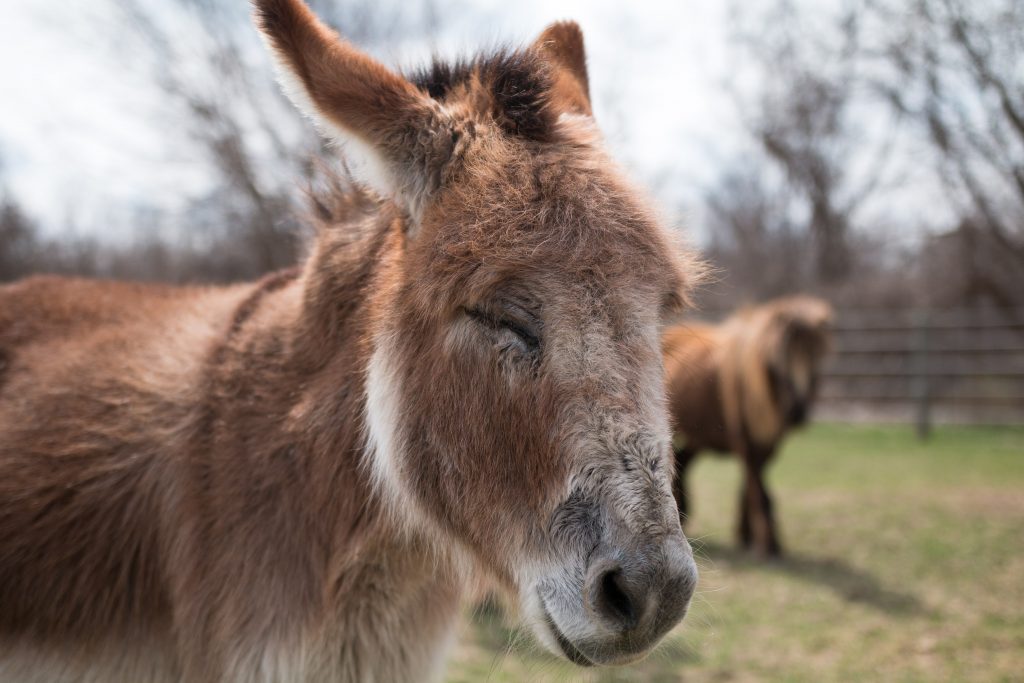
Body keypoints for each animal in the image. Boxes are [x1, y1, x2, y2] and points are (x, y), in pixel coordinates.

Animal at [663, 296, 833, 557]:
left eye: (817, 359)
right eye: (777, 362)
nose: (796, 412)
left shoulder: (767, 445)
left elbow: (751, 489)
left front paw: (746, 536)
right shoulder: (746, 442)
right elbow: (760, 494)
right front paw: (769, 546)